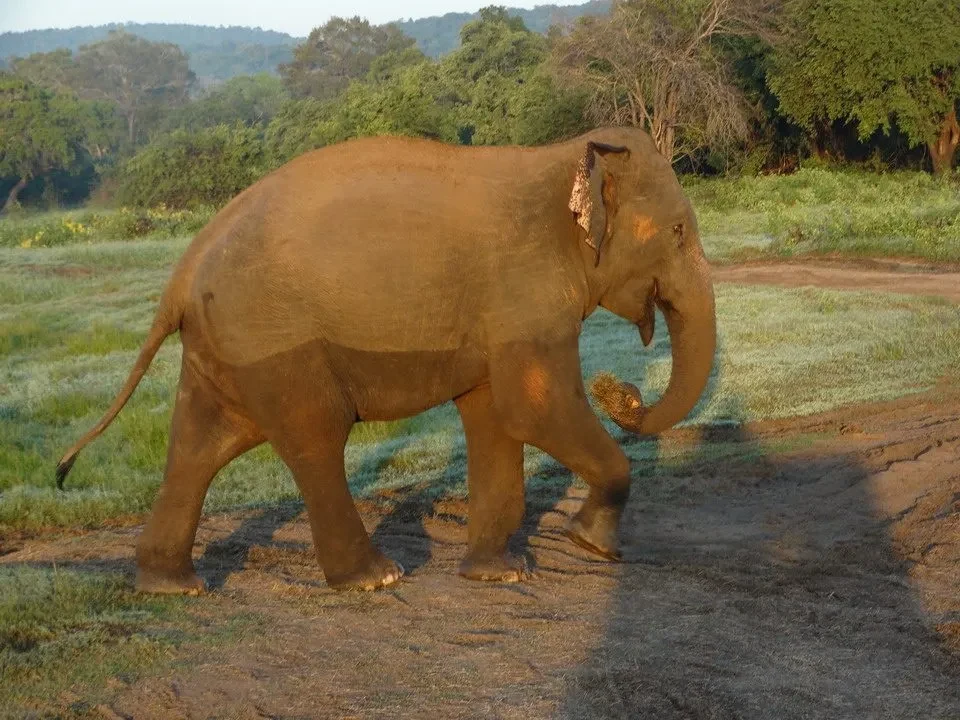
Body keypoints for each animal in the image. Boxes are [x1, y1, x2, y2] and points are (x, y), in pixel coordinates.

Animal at [56, 126, 716, 593]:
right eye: (679, 232)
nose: (622, 390)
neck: (562, 156)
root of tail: (183, 270)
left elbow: (493, 415)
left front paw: (500, 574)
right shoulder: (524, 294)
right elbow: (534, 408)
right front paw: (592, 546)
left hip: (224, 345)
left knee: (201, 445)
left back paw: (172, 587)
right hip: (273, 339)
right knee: (313, 436)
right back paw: (375, 579)